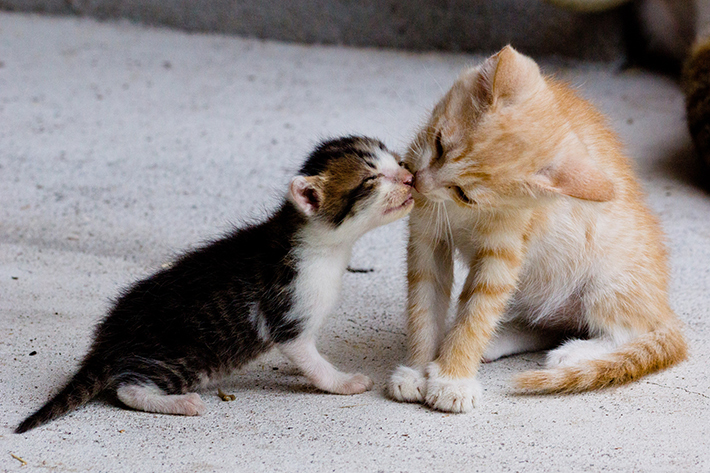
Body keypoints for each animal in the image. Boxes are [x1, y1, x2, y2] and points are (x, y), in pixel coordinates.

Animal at [15, 136, 418, 432]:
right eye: (371, 180)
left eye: (397, 161)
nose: (410, 177)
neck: (320, 245)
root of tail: (107, 341)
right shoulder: (287, 317)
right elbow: (312, 360)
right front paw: (341, 382)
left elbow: (310, 356)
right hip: (186, 359)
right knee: (128, 389)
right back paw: (181, 402)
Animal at [390, 46, 688, 412]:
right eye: (439, 145)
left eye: (465, 194)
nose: (417, 183)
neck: (463, 214)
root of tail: (663, 306)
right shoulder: (427, 237)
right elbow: (424, 305)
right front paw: (417, 370)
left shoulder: (504, 253)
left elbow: (477, 313)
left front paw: (452, 378)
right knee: (549, 324)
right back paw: (499, 340)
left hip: (608, 281)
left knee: (630, 330)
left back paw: (575, 353)